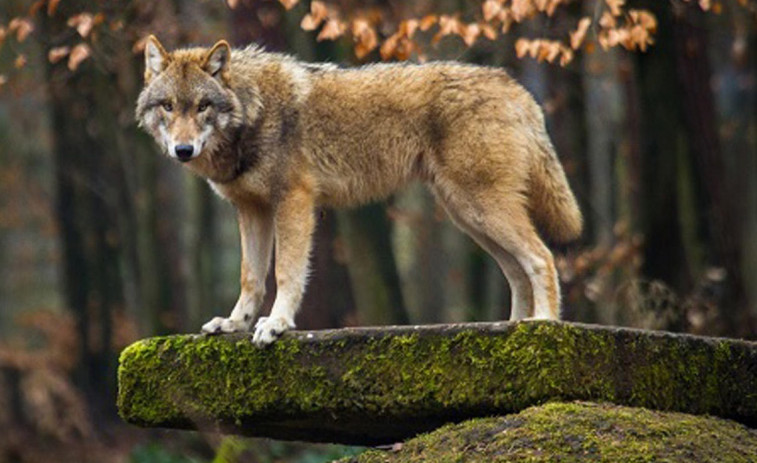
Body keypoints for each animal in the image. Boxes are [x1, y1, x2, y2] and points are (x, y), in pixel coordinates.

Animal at [136, 36, 580, 346]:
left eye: (202, 106)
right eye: (168, 106)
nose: (182, 150)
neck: (253, 110)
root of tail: (516, 88)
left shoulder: (293, 202)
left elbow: (285, 273)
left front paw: (276, 324)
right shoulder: (251, 210)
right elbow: (251, 277)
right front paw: (234, 324)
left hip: (481, 209)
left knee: (541, 258)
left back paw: (544, 324)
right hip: (468, 215)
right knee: (517, 270)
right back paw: (512, 327)